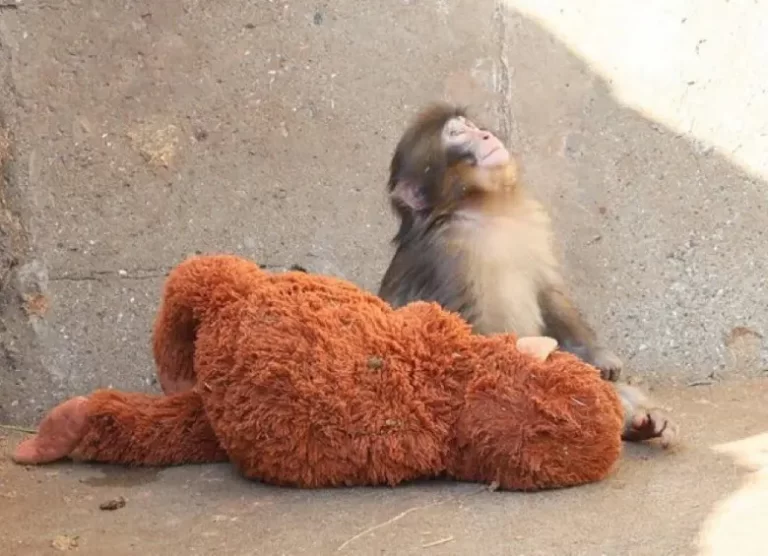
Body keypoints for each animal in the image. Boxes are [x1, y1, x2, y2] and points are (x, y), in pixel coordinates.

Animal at [377, 103, 678, 447]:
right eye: (456, 134)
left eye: (469, 125)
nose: (486, 135)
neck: (483, 208)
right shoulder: (449, 257)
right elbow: (469, 337)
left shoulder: (530, 222)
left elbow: (550, 293)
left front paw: (599, 356)